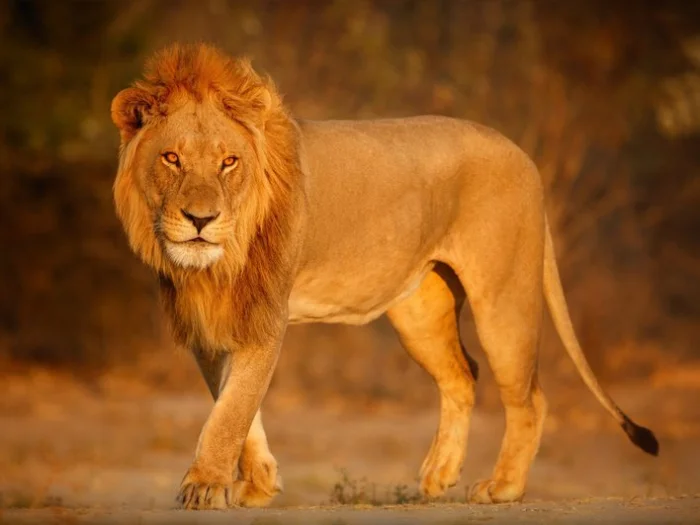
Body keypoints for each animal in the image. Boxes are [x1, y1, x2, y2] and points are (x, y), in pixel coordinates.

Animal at [110, 43, 658, 510]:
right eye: (172, 158)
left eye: (229, 162)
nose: (201, 220)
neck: (216, 265)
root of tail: (522, 154)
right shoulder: (206, 322)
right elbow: (233, 406)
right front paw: (258, 483)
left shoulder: (265, 315)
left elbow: (231, 409)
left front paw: (205, 485)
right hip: (420, 311)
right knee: (463, 374)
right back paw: (439, 474)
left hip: (503, 296)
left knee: (529, 396)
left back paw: (502, 487)